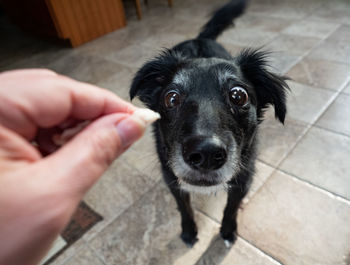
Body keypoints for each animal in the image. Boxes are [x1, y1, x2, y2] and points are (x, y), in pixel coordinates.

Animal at [130, 0, 288, 245]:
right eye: (171, 98)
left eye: (238, 96)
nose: (206, 154)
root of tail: (199, 39)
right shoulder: (172, 178)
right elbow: (184, 208)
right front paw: (188, 231)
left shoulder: (244, 177)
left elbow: (231, 207)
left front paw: (228, 230)